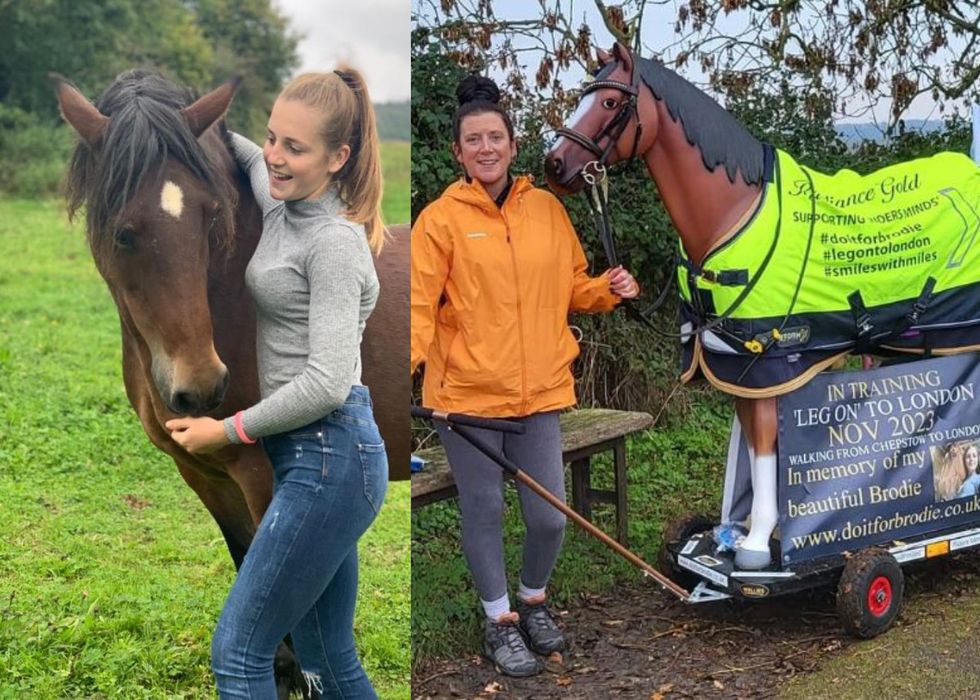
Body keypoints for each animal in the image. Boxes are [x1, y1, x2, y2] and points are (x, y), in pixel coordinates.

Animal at [545, 43, 980, 570]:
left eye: (610, 102)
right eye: (582, 96)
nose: (554, 164)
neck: (733, 215)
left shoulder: (771, 366)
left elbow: (769, 448)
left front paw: (755, 545)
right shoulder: (737, 370)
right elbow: (754, 451)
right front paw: (747, 532)